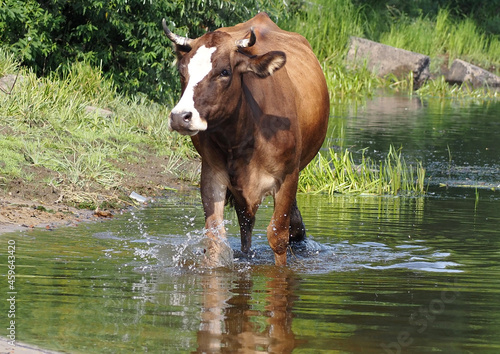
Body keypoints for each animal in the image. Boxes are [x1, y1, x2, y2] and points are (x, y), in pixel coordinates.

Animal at [162, 13, 330, 266]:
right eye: (183, 72)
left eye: (224, 72)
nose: (180, 117)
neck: (243, 135)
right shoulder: (212, 173)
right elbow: (215, 238)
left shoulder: (288, 176)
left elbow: (278, 236)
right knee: (246, 226)